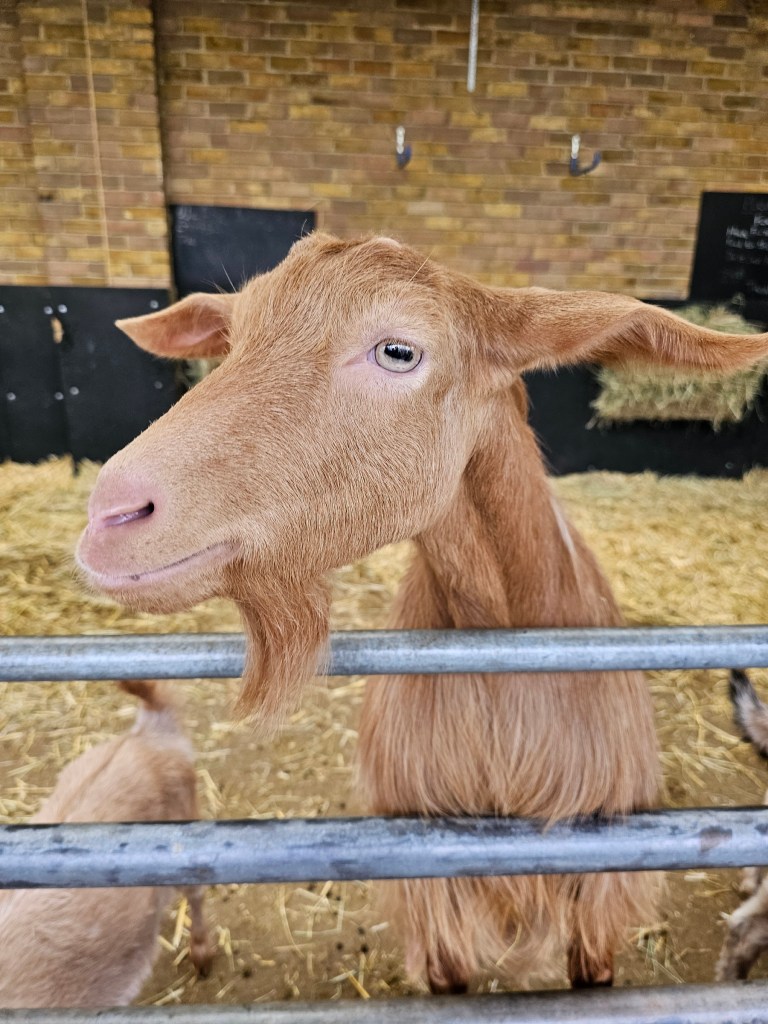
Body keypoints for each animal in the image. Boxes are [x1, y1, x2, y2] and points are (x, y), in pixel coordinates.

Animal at [75, 233, 768, 991]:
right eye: (235, 338)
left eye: (398, 350)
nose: (111, 515)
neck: (503, 650)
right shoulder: (432, 884)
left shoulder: (600, 883)